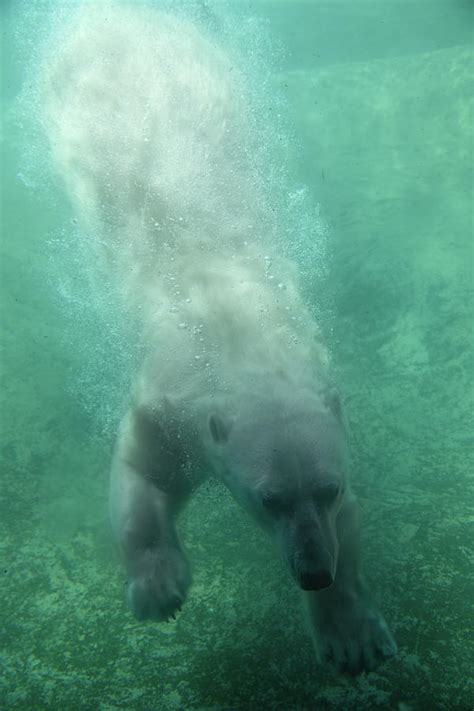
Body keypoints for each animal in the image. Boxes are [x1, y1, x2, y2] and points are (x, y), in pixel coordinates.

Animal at [42, 2, 396, 676]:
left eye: (327, 487)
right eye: (268, 499)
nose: (313, 572)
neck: (240, 347)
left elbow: (350, 527)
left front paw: (351, 636)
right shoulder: (170, 406)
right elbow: (141, 473)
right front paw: (159, 588)